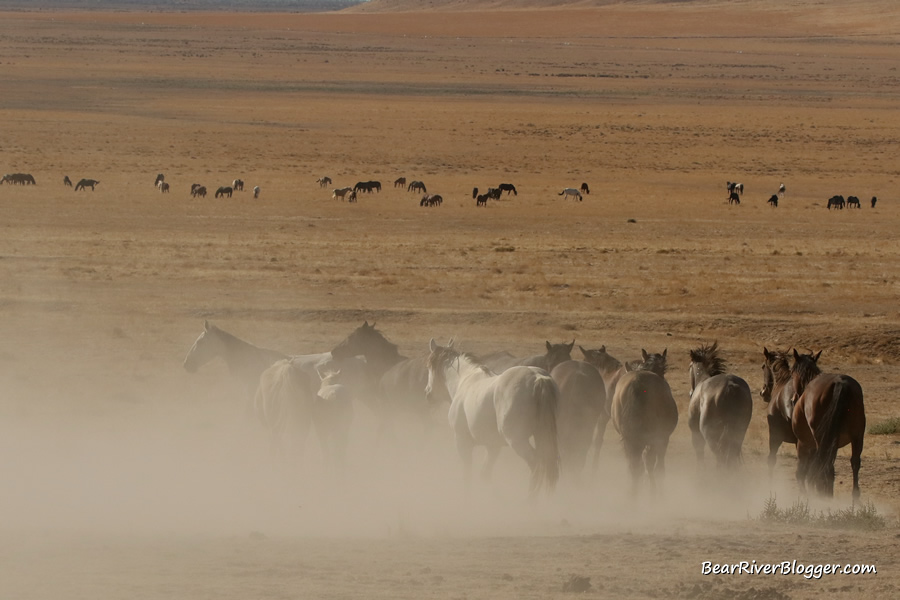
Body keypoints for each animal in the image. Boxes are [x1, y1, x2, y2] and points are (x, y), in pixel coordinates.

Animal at [426, 340, 560, 494]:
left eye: (429, 366)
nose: (428, 393)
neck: (465, 380)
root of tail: (538, 378)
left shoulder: (462, 442)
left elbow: (467, 476)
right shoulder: (492, 446)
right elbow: (485, 474)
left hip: (517, 441)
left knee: (536, 465)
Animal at [788, 350, 864, 500]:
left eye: (792, 372)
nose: (793, 399)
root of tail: (840, 383)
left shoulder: (804, 444)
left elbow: (802, 473)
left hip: (821, 441)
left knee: (825, 467)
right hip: (857, 436)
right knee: (854, 463)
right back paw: (854, 499)